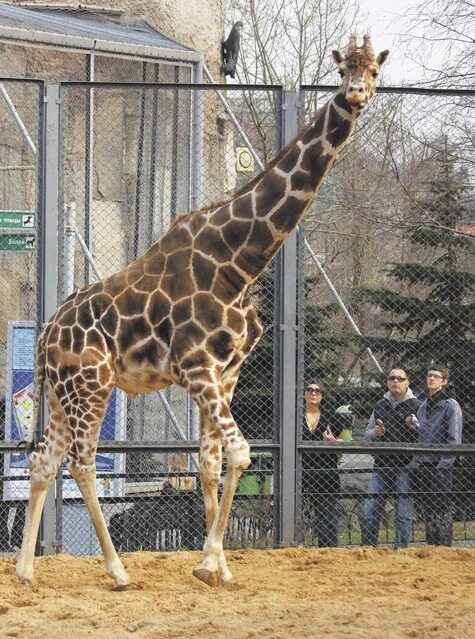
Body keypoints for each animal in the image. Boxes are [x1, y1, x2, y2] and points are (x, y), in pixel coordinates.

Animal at [16, 36, 388, 592]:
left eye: (374, 72)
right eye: (343, 68)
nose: (357, 93)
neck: (241, 261)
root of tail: (44, 336)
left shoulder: (226, 371)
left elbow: (211, 462)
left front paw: (220, 566)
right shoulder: (196, 368)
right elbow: (239, 453)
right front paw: (209, 561)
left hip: (64, 393)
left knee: (44, 459)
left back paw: (24, 570)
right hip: (91, 385)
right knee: (81, 462)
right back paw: (118, 570)